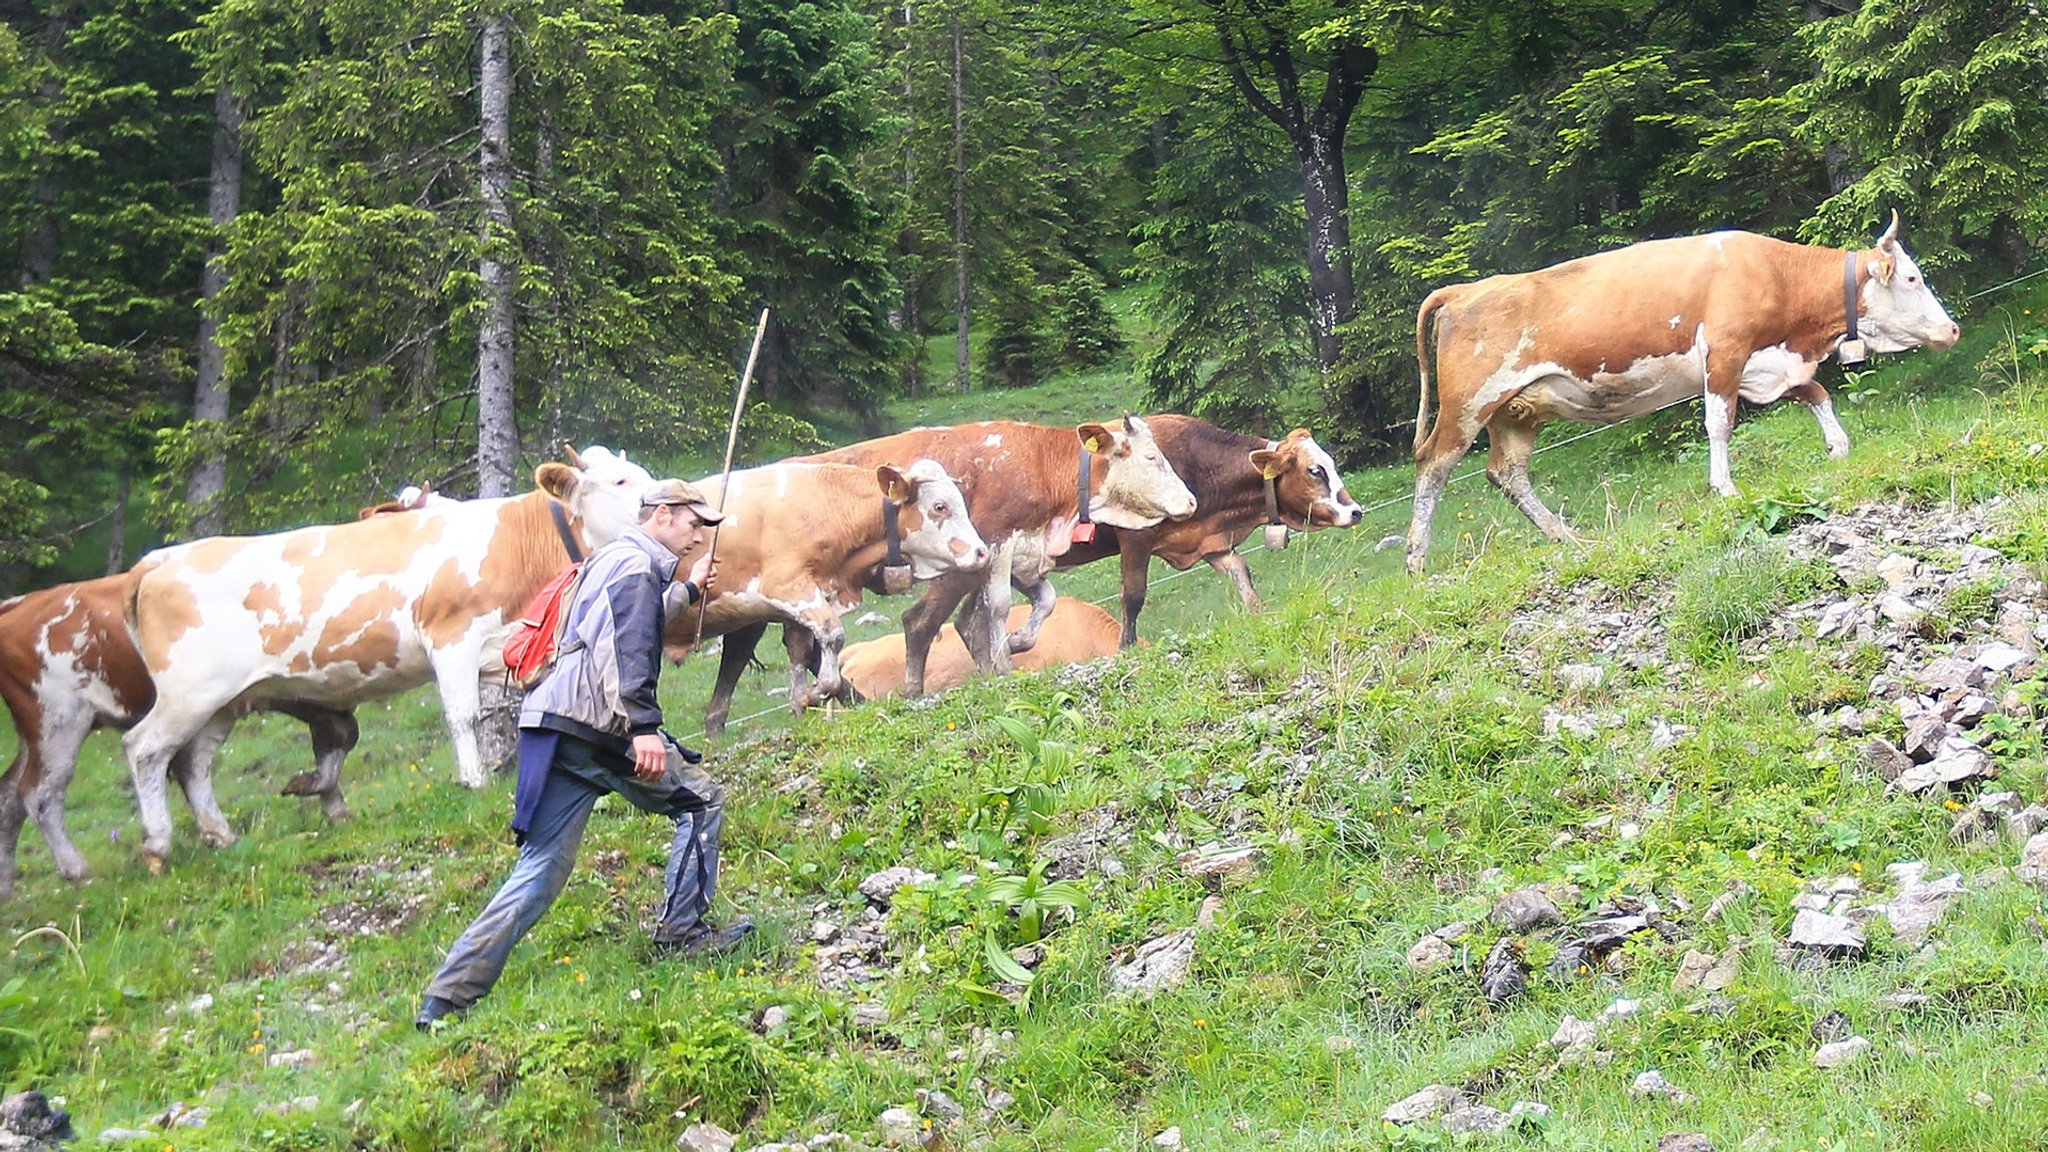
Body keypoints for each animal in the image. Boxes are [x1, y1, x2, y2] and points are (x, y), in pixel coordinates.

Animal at [121, 444, 655, 865]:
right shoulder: (450, 637)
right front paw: (474, 780)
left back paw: (220, 833)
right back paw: (158, 844)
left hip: (221, 701)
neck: (517, 544)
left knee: (193, 763)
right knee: (144, 748)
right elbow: (464, 716)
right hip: (188, 693)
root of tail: (158, 560)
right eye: (621, 480)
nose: (665, 494)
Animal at [663, 453, 991, 729]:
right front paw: (814, 693)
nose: (981, 553)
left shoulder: (798, 608)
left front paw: (800, 704)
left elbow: (800, 654)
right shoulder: (789, 587)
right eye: (940, 507)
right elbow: (833, 636)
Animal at [1056, 414, 1359, 647]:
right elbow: (1132, 597)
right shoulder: (1135, 537)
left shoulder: (1207, 540)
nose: (1355, 511)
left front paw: (1259, 617)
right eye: (1315, 471)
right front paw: (1125, 649)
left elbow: (1242, 575)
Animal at [1400, 211, 1957, 569]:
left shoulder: (1769, 361)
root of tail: (1467, 289)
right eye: (1912, 278)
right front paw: (1724, 487)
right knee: (1434, 463)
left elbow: (1816, 394)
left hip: (1516, 411)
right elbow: (1719, 422)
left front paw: (1838, 447)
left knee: (1507, 473)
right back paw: (1417, 558)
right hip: (1468, 404)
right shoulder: (1726, 351)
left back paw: (1563, 534)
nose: (1951, 330)